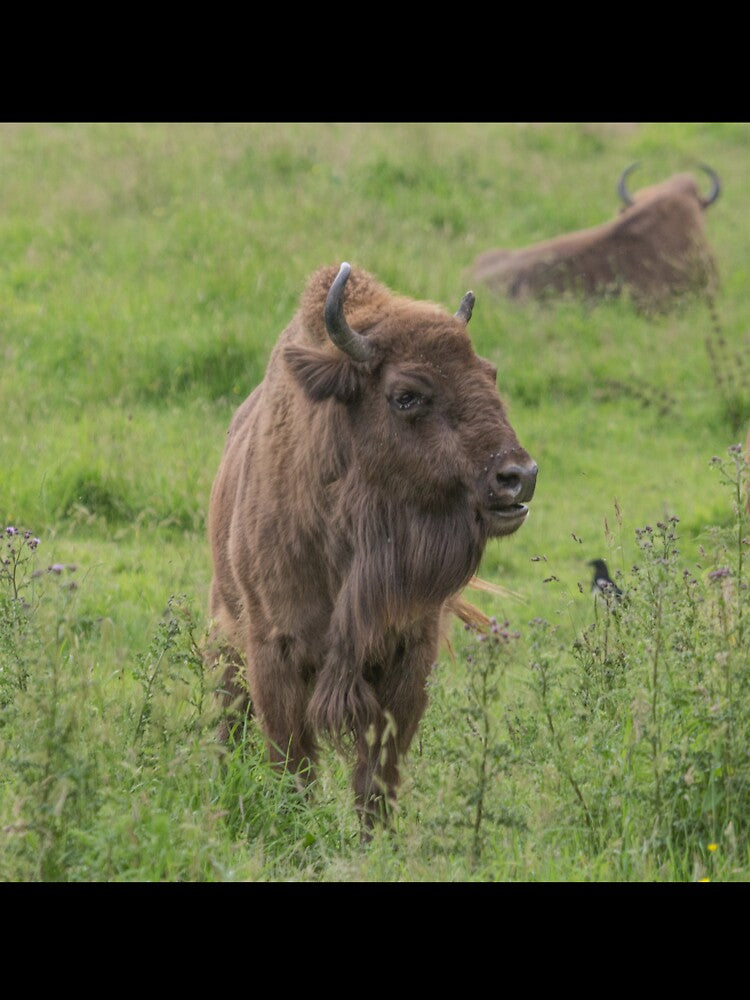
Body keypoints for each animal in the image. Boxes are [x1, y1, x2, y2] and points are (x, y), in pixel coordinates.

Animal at [208, 262, 537, 834]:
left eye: (488, 373)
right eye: (407, 394)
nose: (518, 476)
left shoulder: (408, 654)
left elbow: (377, 773)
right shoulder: (276, 649)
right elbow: (293, 762)